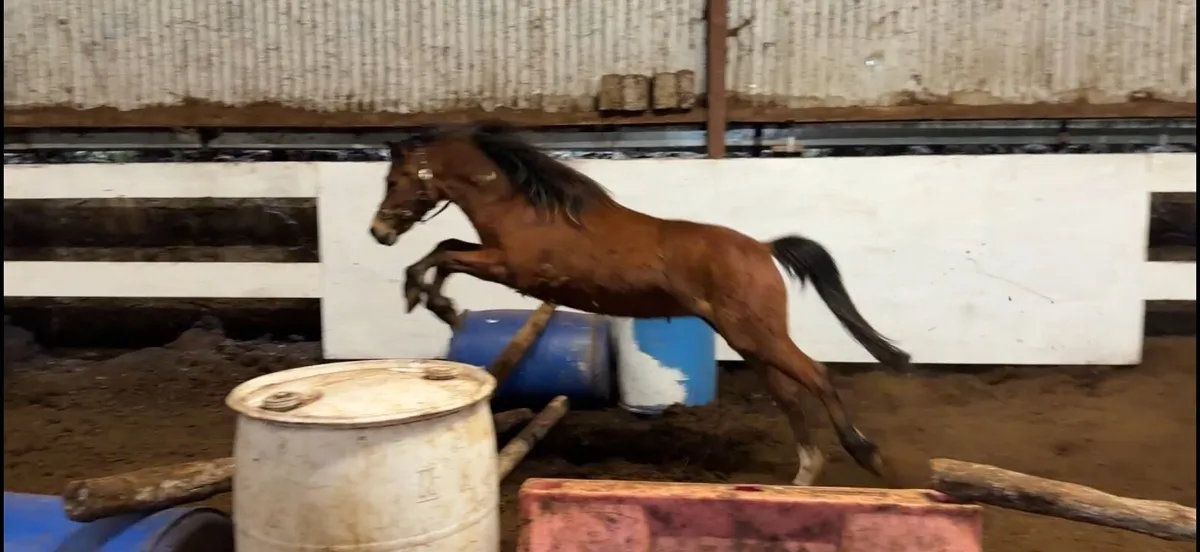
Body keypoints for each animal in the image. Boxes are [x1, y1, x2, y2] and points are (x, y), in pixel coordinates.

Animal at [369, 122, 912, 486]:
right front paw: (437, 303)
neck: (524, 208)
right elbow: (446, 250)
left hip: (757, 334)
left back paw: (867, 456)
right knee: (791, 396)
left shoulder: (514, 269)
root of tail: (762, 248)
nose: (379, 232)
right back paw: (801, 479)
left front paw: (425, 296)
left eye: (395, 181)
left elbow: (444, 253)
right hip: (752, 342)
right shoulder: (495, 260)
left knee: (816, 375)